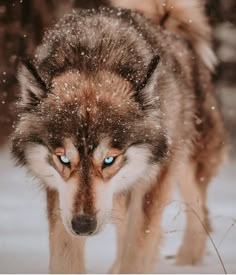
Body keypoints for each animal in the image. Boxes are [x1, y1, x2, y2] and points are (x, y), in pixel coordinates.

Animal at [11, 0, 225, 274]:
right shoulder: (59, 193)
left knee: (199, 211)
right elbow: (65, 256)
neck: (93, 58)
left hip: (185, 163)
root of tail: (164, 21)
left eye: (109, 160)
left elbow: (137, 250)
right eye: (64, 159)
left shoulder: (153, 182)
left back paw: (187, 260)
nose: (83, 226)